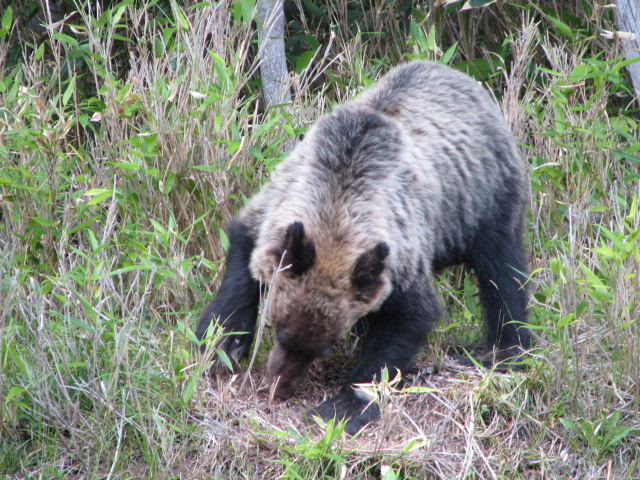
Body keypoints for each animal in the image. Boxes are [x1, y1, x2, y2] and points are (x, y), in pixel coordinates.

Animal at [198, 61, 532, 436]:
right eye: (280, 331)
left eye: (324, 348)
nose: (281, 388)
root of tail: (464, 80)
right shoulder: (274, 206)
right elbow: (240, 274)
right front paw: (223, 342)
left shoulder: (400, 255)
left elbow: (407, 322)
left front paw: (344, 403)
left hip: (484, 201)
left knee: (502, 273)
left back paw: (504, 351)